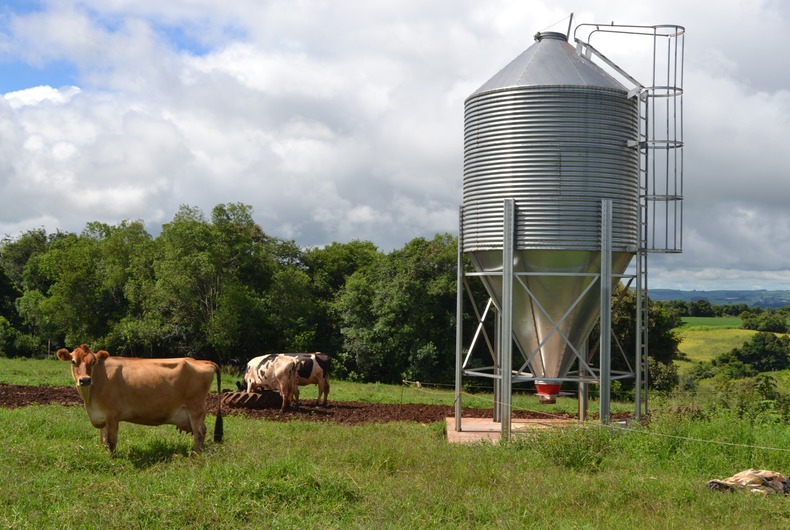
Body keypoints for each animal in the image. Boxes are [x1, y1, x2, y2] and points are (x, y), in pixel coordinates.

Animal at [57, 344, 224, 452]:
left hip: (195, 407)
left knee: (199, 433)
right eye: (73, 361)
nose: (85, 380)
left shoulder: (112, 414)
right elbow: (103, 440)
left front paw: (112, 458)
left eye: (93, 361)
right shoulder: (101, 416)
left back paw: (194, 454)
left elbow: (111, 441)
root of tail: (201, 361)